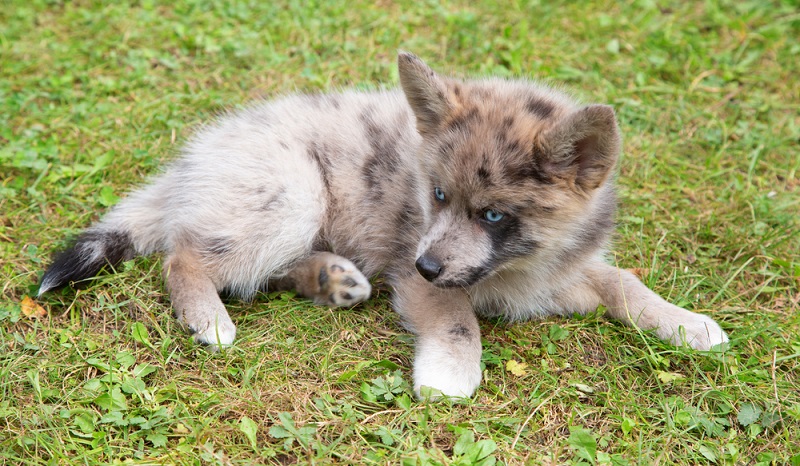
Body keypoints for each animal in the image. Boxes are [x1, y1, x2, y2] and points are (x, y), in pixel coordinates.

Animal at [40, 52, 728, 398]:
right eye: (438, 194)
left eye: (494, 214)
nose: (427, 263)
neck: (523, 265)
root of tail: (193, 160)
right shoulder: (419, 274)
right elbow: (458, 320)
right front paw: (451, 374)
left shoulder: (568, 272)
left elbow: (626, 282)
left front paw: (685, 323)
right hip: (291, 196)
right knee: (183, 256)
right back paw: (207, 318)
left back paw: (331, 280)